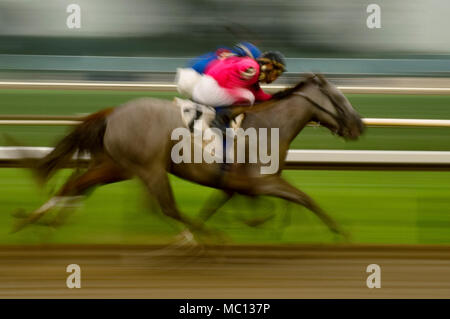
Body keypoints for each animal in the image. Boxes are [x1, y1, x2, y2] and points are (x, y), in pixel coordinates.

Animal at [13, 73, 366, 242]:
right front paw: (341, 233)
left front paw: (264, 225)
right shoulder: (262, 182)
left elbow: (222, 206)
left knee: (76, 184)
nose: (358, 125)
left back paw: (38, 223)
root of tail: (114, 111)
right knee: (164, 206)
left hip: (118, 165)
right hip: (148, 166)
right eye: (339, 99)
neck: (270, 125)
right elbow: (305, 199)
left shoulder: (236, 185)